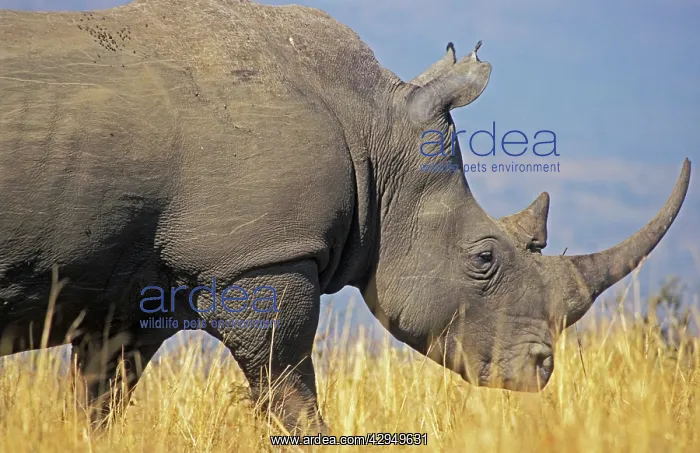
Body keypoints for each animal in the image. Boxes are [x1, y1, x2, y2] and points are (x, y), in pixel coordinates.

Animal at [0, 0, 692, 432]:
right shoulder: (260, 257)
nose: (542, 370)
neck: (373, 124)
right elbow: (287, 386)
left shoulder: (132, 291)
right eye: (483, 258)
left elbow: (100, 400)